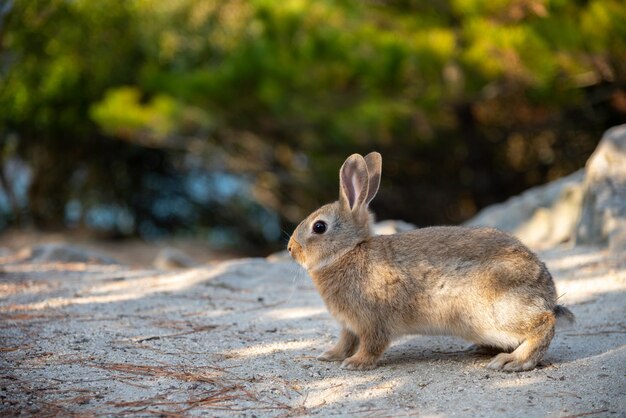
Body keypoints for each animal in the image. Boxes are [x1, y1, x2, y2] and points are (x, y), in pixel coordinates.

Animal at [286, 153, 572, 372]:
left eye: (319, 227)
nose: (290, 249)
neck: (349, 251)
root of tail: (548, 293)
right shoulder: (349, 325)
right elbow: (345, 341)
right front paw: (330, 355)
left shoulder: (371, 321)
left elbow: (371, 345)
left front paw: (355, 364)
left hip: (497, 310)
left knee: (544, 323)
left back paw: (512, 361)